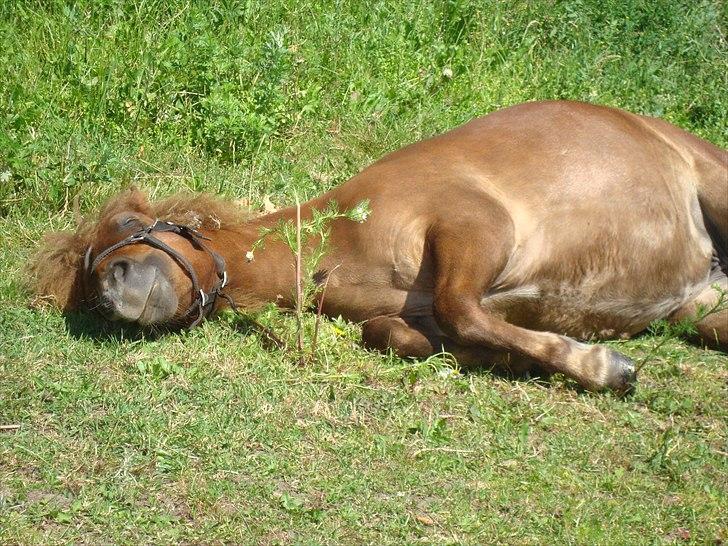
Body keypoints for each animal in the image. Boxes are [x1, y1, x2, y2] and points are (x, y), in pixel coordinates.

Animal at [29, 101, 728, 392]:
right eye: (87, 282)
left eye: (126, 224)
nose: (113, 286)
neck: (345, 240)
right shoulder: (401, 311)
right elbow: (401, 334)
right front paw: (515, 360)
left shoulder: (473, 224)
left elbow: (460, 309)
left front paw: (601, 365)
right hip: (701, 308)